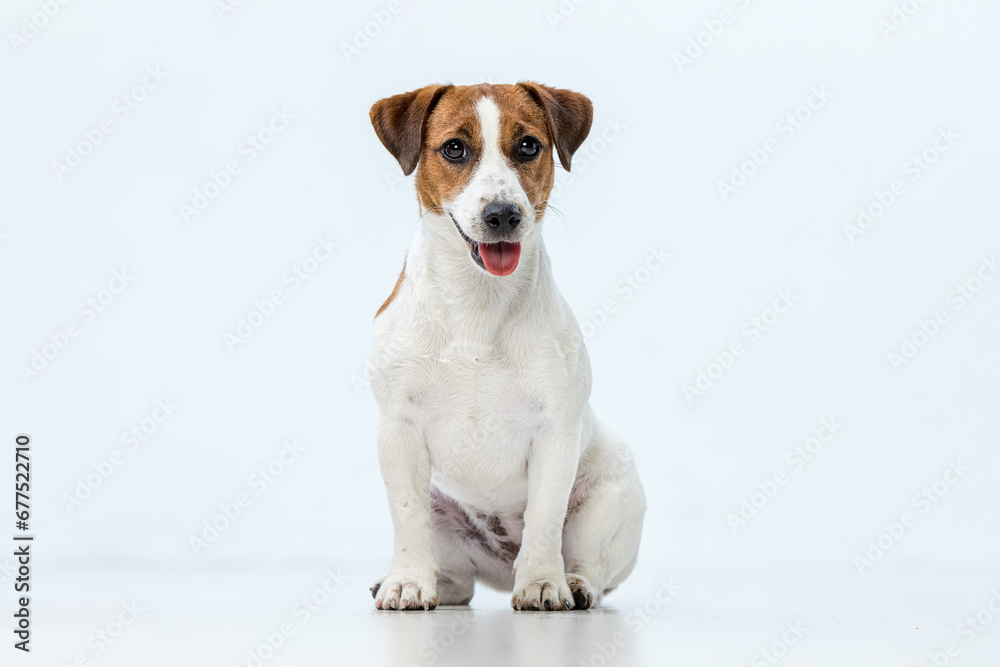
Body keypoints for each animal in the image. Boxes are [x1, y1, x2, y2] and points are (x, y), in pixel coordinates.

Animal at [366, 82, 640, 612]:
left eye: (529, 146)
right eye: (454, 148)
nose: (503, 214)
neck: (479, 301)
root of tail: (497, 563)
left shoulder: (555, 432)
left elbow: (545, 517)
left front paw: (541, 582)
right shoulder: (397, 429)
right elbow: (406, 517)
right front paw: (407, 582)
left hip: (610, 496)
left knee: (588, 565)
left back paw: (573, 584)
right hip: (443, 511)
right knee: (457, 579)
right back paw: (436, 583)